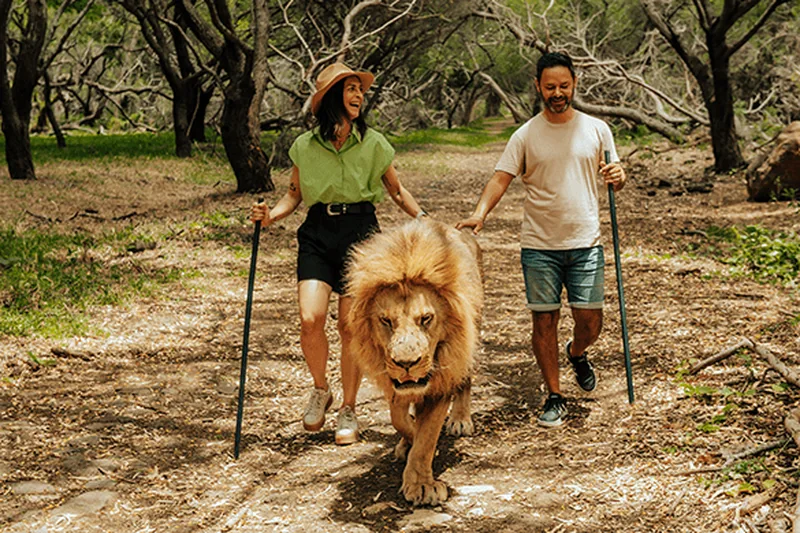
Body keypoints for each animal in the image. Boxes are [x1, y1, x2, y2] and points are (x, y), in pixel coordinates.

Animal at [345, 219, 483, 506]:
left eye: (426, 318)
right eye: (386, 320)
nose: (407, 363)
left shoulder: (441, 379)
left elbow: (427, 436)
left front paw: (421, 484)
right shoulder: (395, 383)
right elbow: (400, 418)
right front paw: (407, 440)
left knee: (465, 378)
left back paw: (460, 419)